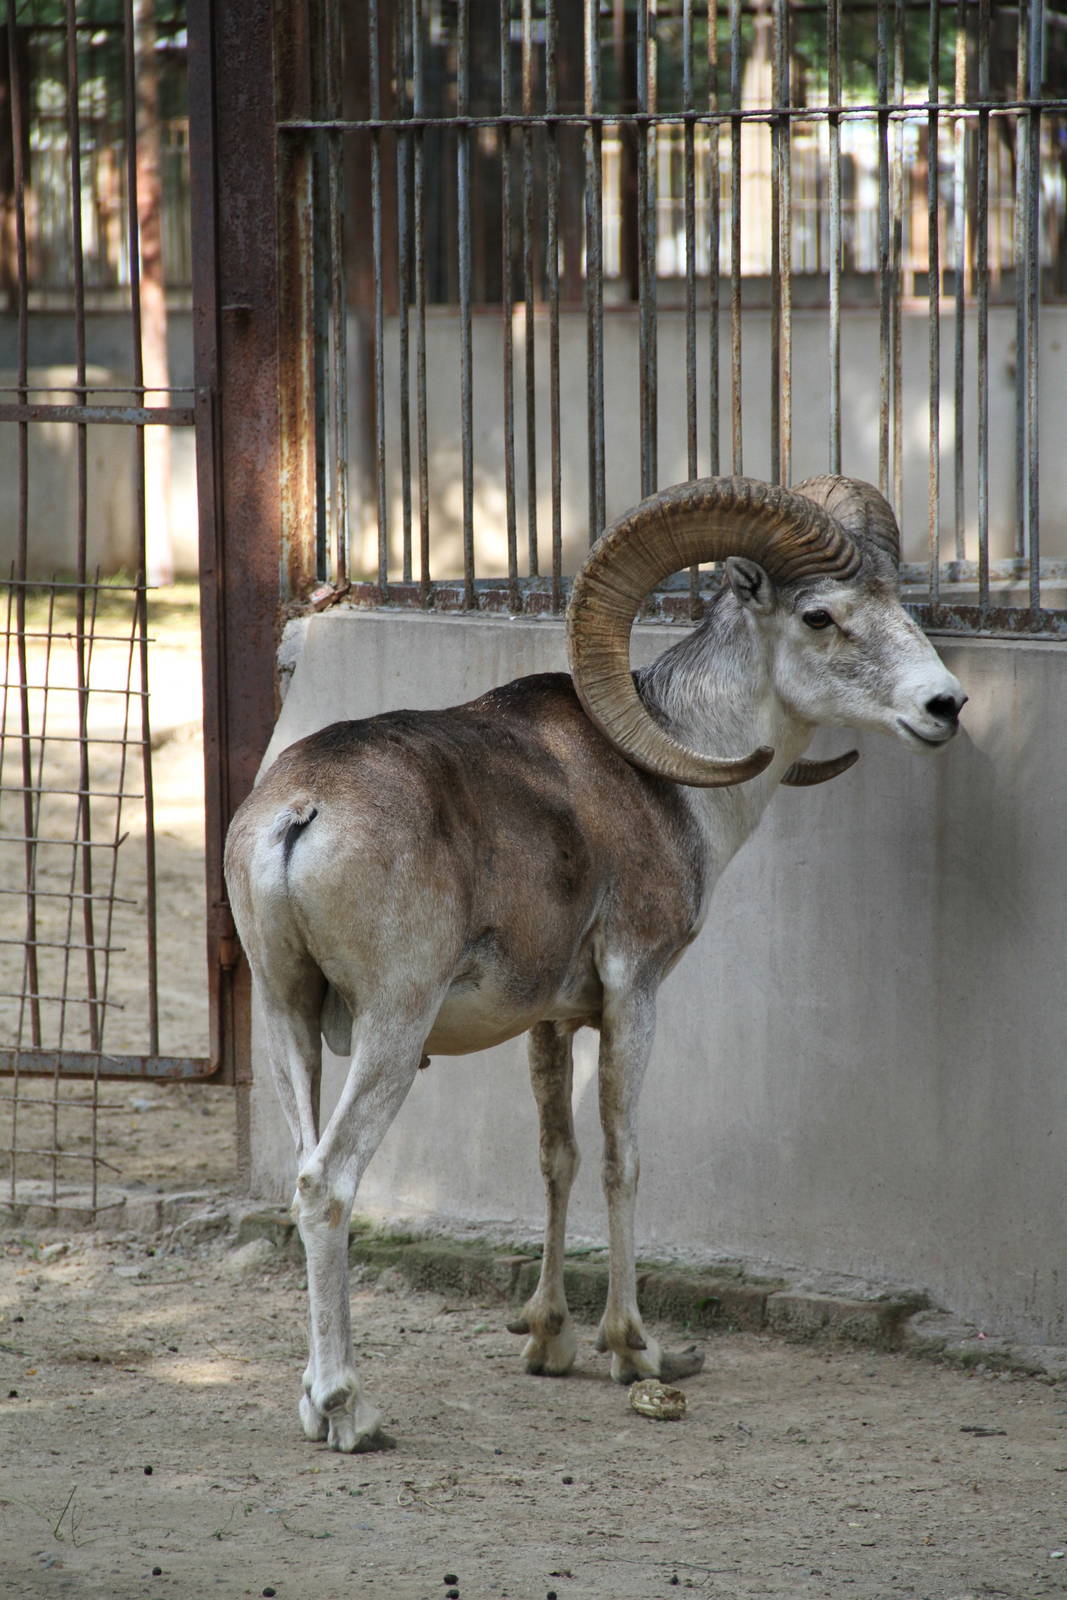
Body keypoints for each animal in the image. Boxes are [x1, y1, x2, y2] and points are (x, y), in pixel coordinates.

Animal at [224, 473, 965, 1452]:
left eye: (897, 601)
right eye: (820, 615)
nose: (943, 707)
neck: (673, 784)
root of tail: (300, 812)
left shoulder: (548, 1021)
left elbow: (557, 1157)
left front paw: (549, 1340)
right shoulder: (632, 994)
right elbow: (622, 1158)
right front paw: (635, 1351)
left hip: (289, 1018)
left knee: (305, 1174)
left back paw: (312, 1404)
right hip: (392, 1026)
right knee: (326, 1183)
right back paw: (352, 1410)